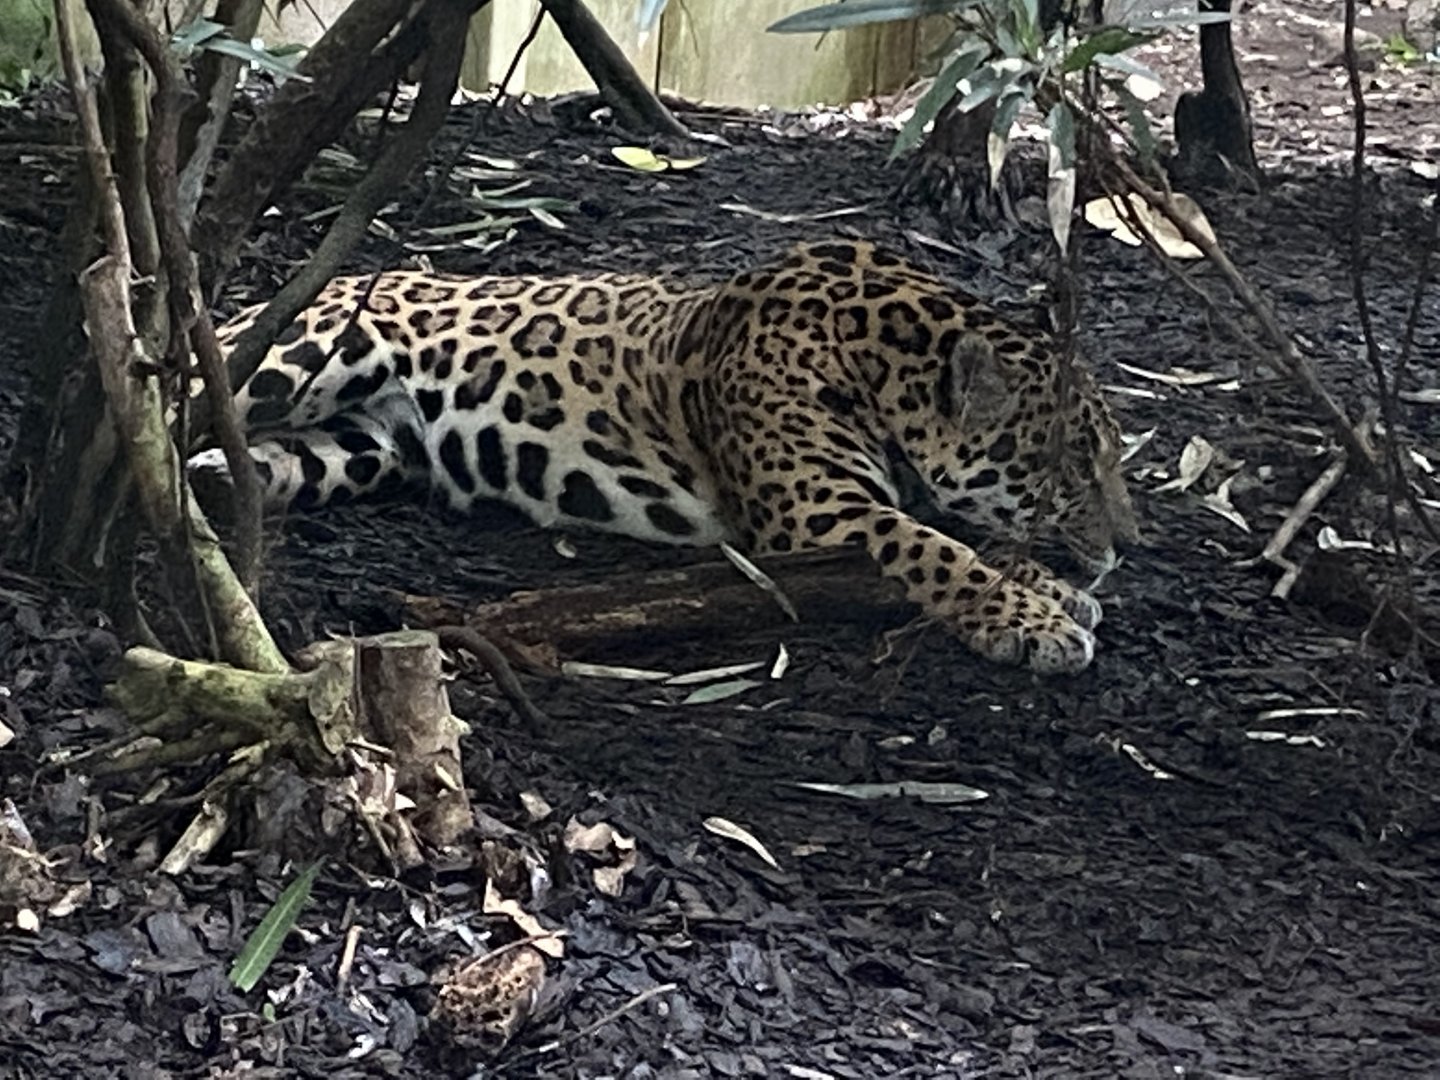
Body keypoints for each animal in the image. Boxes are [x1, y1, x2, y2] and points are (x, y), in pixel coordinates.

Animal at [193, 240, 1138, 674]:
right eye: (1074, 459)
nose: (1128, 545)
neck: (879, 355)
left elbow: (973, 538)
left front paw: (1052, 590)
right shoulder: (821, 515)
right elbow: (936, 549)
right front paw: (1035, 622)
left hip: (356, 448)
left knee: (255, 465)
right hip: (299, 354)